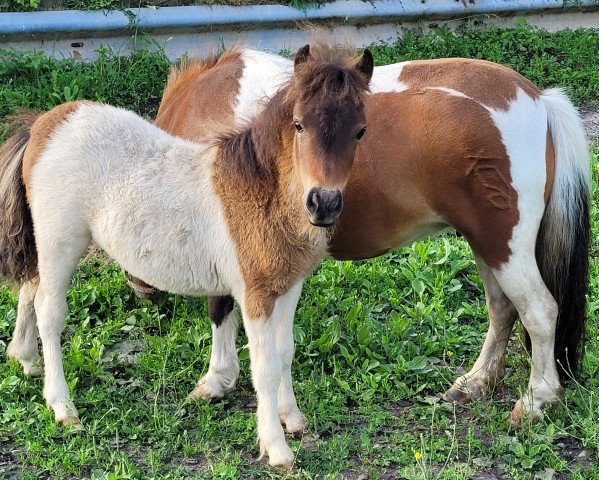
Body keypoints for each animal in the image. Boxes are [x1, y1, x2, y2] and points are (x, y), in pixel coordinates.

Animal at [0, 46, 376, 468]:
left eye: (360, 130)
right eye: (298, 125)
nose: (323, 204)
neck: (259, 193)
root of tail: (43, 125)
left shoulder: (288, 287)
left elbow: (285, 353)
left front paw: (293, 419)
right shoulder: (255, 295)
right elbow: (264, 366)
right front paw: (277, 448)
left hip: (45, 245)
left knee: (29, 287)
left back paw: (26, 359)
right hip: (60, 242)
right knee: (49, 312)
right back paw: (63, 407)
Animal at [130, 48, 592, 430]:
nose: (141, 288)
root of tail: (538, 101)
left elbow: (220, 306)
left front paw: (216, 380)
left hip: (505, 246)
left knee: (539, 311)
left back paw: (537, 400)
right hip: (489, 244)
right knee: (503, 309)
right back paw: (476, 382)